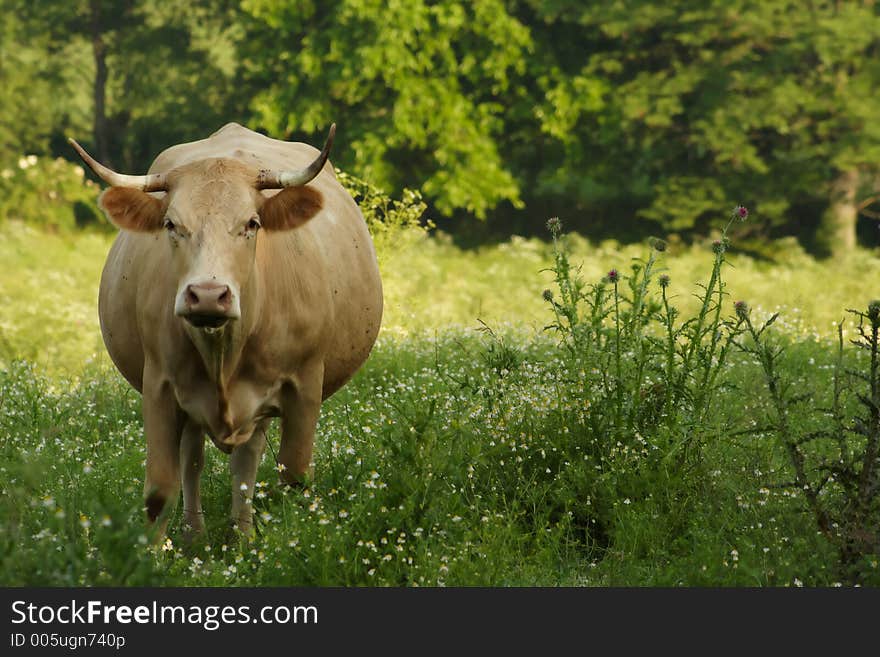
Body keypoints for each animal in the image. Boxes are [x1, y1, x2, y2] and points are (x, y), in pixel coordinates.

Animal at [69, 124, 382, 540]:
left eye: (252, 223)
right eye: (171, 224)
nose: (207, 295)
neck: (222, 350)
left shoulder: (305, 386)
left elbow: (294, 477)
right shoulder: (158, 387)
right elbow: (160, 489)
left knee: (246, 461)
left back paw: (242, 536)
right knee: (193, 459)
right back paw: (195, 535)